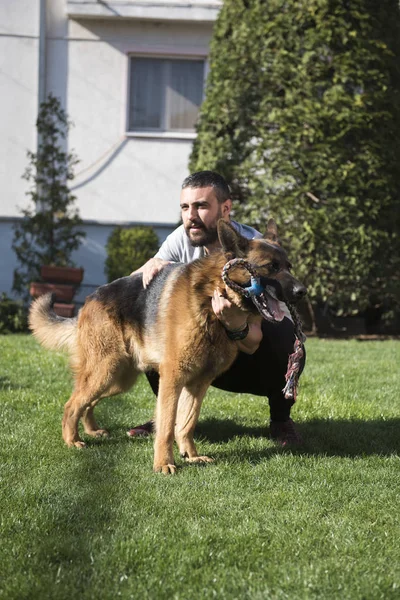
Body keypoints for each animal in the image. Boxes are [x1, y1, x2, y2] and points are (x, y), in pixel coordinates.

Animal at [28, 219, 306, 474]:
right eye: (271, 267)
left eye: (289, 267)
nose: (302, 291)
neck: (209, 301)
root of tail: (90, 298)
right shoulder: (173, 378)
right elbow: (167, 424)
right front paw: (163, 463)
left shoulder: (198, 383)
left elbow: (187, 422)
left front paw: (191, 455)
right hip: (106, 370)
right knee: (72, 404)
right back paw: (72, 440)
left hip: (118, 378)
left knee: (87, 402)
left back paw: (92, 430)